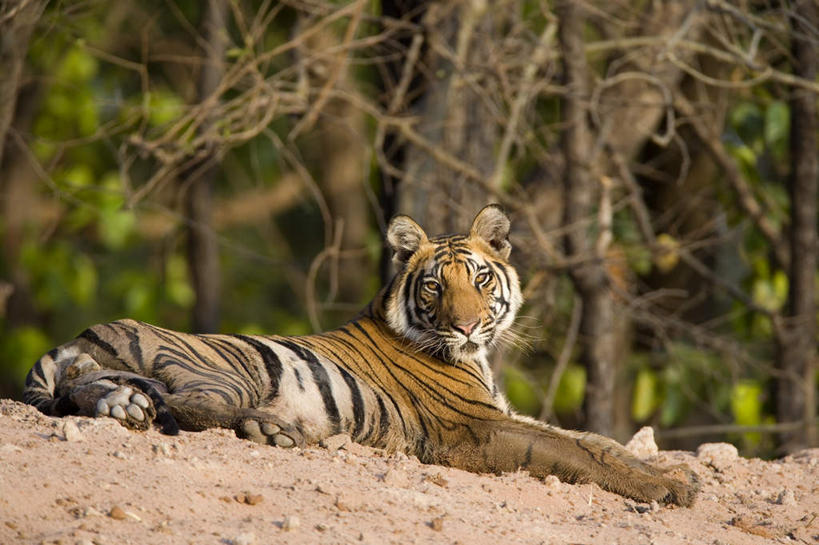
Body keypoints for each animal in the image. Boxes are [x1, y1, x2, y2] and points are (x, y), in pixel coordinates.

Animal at [24, 204, 700, 506]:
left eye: (480, 279)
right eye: (436, 286)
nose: (467, 325)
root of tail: (79, 334)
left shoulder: (503, 413)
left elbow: (595, 441)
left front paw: (678, 475)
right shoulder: (475, 429)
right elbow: (571, 452)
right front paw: (667, 490)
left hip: (102, 373)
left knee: (92, 393)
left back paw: (127, 408)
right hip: (222, 371)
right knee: (192, 408)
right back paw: (276, 431)